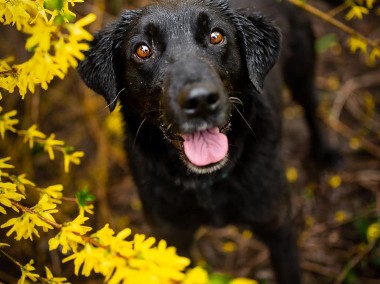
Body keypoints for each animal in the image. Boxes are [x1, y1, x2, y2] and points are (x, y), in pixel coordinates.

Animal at [77, 1, 338, 282]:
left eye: (216, 36)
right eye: (143, 50)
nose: (200, 100)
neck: (206, 182)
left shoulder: (278, 227)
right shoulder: (173, 238)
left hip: (302, 71)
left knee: (312, 108)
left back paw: (327, 152)